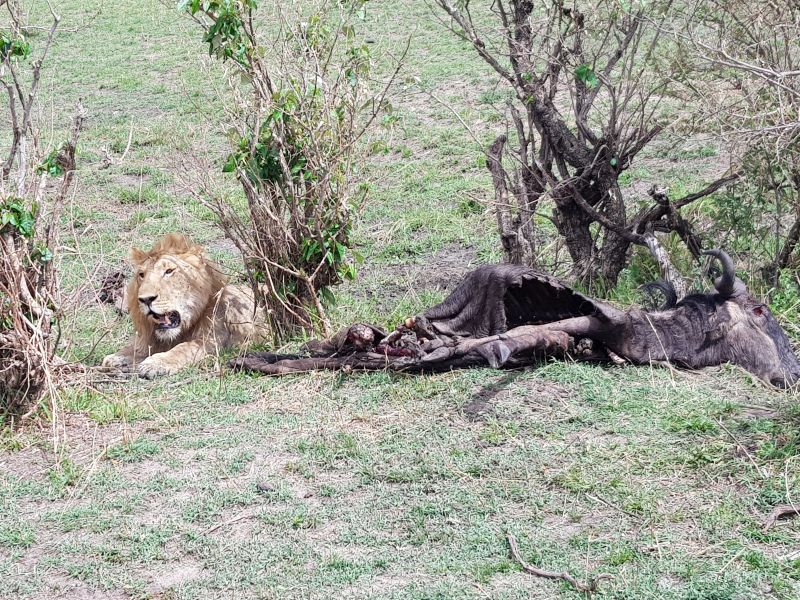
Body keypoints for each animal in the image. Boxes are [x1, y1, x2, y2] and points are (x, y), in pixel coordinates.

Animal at [101, 233, 266, 378]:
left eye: (169, 271)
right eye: (142, 275)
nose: (146, 299)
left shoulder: (214, 342)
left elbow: (183, 349)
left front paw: (154, 363)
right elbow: (139, 349)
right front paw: (119, 358)